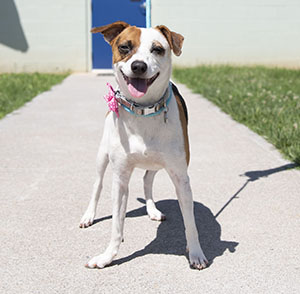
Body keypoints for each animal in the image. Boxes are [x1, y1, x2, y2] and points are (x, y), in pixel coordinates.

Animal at [78, 20, 207, 268]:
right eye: (124, 47)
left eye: (157, 49)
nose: (138, 66)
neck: (144, 110)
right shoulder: (120, 179)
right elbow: (116, 225)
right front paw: (108, 256)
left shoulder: (180, 177)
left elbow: (190, 222)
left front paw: (196, 253)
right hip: (102, 156)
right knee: (97, 185)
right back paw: (88, 215)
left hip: (157, 164)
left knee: (147, 180)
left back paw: (152, 210)